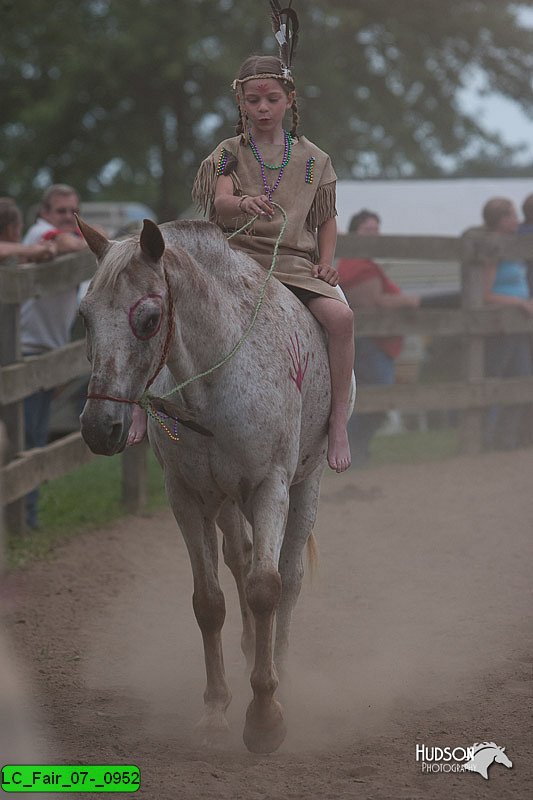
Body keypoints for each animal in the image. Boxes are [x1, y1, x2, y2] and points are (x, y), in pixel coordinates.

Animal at [78, 217, 354, 752]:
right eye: (84, 318)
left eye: (149, 319)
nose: (100, 427)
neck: (214, 381)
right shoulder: (187, 499)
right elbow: (209, 603)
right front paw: (214, 711)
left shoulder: (270, 488)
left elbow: (268, 588)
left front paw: (265, 716)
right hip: (225, 501)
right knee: (239, 559)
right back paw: (248, 651)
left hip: (305, 487)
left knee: (288, 578)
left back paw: (280, 670)